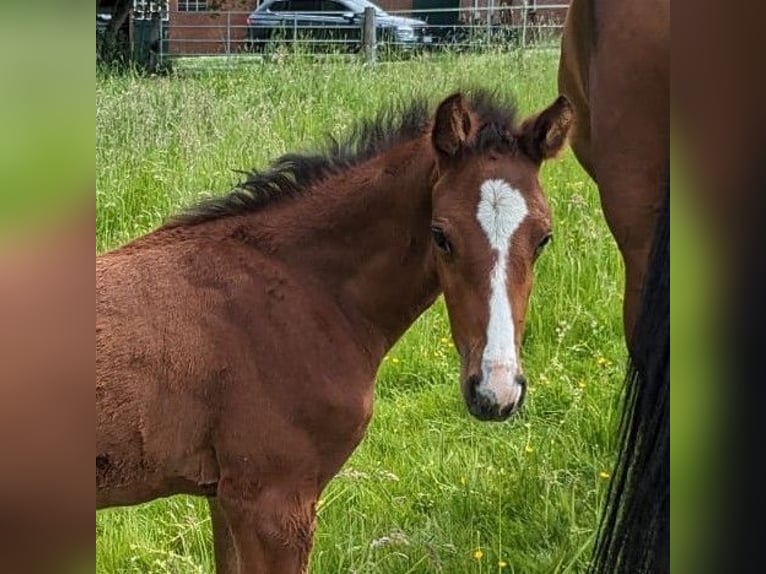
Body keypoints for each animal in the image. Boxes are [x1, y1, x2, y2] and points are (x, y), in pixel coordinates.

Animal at [96, 90, 572, 574]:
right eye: (441, 235)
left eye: (543, 238)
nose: (496, 392)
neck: (304, 289)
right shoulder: (272, 501)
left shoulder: (224, 496)